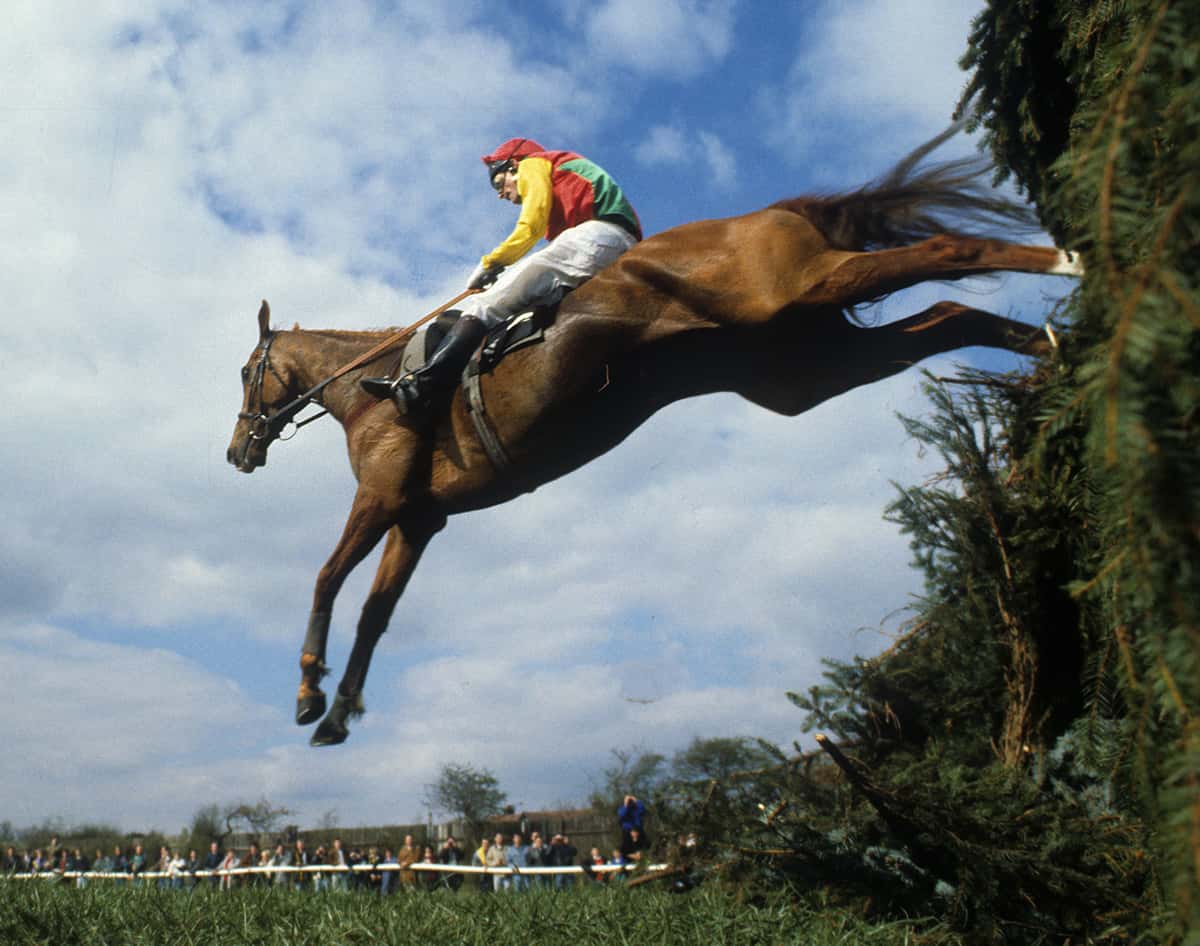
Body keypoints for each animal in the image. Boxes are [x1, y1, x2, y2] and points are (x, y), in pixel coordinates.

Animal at [227, 129, 1081, 746]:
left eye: (243, 374)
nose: (236, 453)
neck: (367, 390)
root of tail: (774, 212)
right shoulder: (418, 518)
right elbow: (375, 614)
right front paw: (339, 711)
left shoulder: (379, 500)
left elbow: (325, 581)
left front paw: (307, 691)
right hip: (810, 365)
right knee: (948, 316)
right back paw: (1052, 355)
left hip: (797, 293)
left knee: (946, 253)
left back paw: (1067, 259)